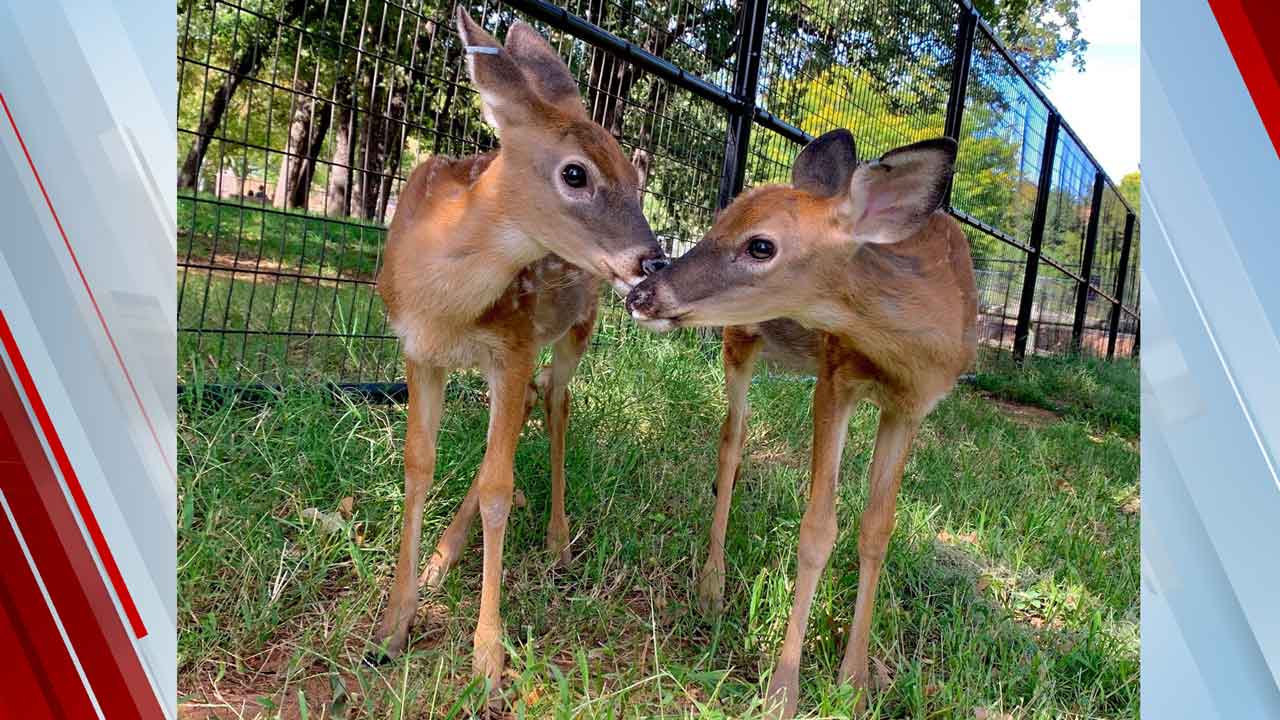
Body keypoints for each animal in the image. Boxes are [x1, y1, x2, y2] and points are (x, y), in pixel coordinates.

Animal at [368, 8, 668, 705]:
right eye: (576, 173)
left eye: (636, 179)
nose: (653, 260)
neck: (441, 302)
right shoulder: (419, 352)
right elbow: (418, 465)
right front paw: (393, 626)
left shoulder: (515, 342)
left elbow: (501, 486)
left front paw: (487, 658)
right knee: (529, 410)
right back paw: (440, 561)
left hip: (575, 328)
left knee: (558, 400)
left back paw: (557, 541)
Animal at [626, 130, 977, 718]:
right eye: (719, 222)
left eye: (761, 246)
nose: (642, 292)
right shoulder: (834, 377)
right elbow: (818, 529)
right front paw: (782, 690)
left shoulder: (911, 408)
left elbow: (877, 528)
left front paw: (855, 681)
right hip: (740, 337)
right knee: (732, 441)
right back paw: (712, 586)